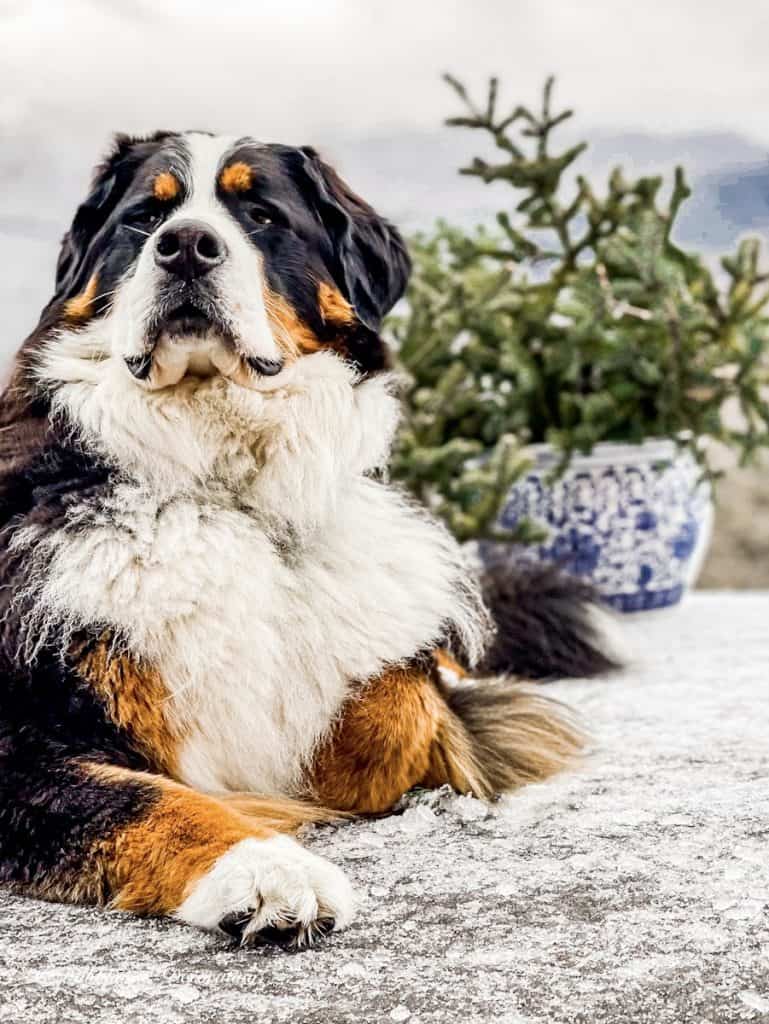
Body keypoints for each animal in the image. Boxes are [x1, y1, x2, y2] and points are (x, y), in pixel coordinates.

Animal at [0, 134, 614, 950]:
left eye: (260, 215)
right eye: (145, 217)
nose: (185, 246)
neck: (230, 488)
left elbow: (399, 706)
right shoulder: (21, 737)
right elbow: (148, 798)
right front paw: (265, 870)